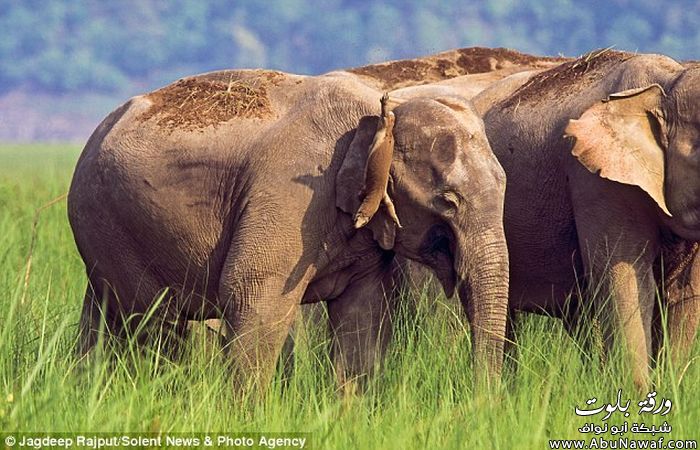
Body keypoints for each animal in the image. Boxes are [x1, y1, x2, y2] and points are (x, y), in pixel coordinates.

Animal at [67, 67, 508, 390]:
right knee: (154, 323)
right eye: (448, 201)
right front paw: (247, 415)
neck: (383, 107)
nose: (482, 404)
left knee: (104, 315)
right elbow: (252, 294)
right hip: (110, 221)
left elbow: (364, 313)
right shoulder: (292, 196)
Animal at [476, 48, 700, 386]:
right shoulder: (597, 181)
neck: (670, 81)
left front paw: (674, 387)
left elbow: (684, 294)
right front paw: (636, 392)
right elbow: (625, 280)